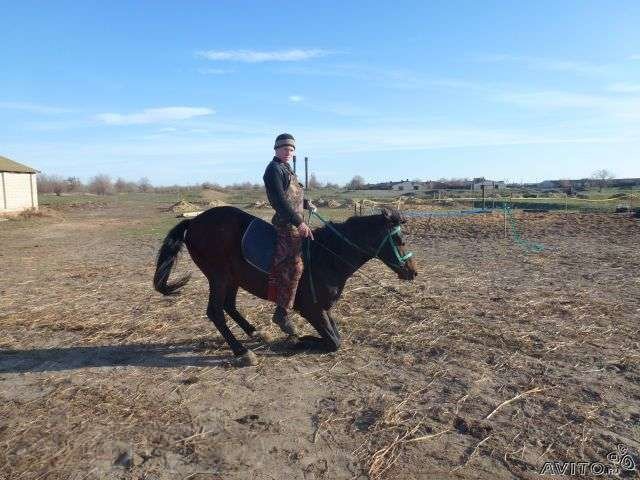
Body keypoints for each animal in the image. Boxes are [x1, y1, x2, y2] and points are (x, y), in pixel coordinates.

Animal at [152, 204, 418, 366]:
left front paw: (300, 338)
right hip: (218, 277)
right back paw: (242, 352)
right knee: (215, 311)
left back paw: (255, 332)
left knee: (229, 306)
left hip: (232, 278)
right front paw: (302, 340)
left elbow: (336, 335)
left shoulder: (324, 308)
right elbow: (333, 342)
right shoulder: (312, 309)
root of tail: (195, 221)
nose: (412, 272)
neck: (327, 256)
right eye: (398, 239)